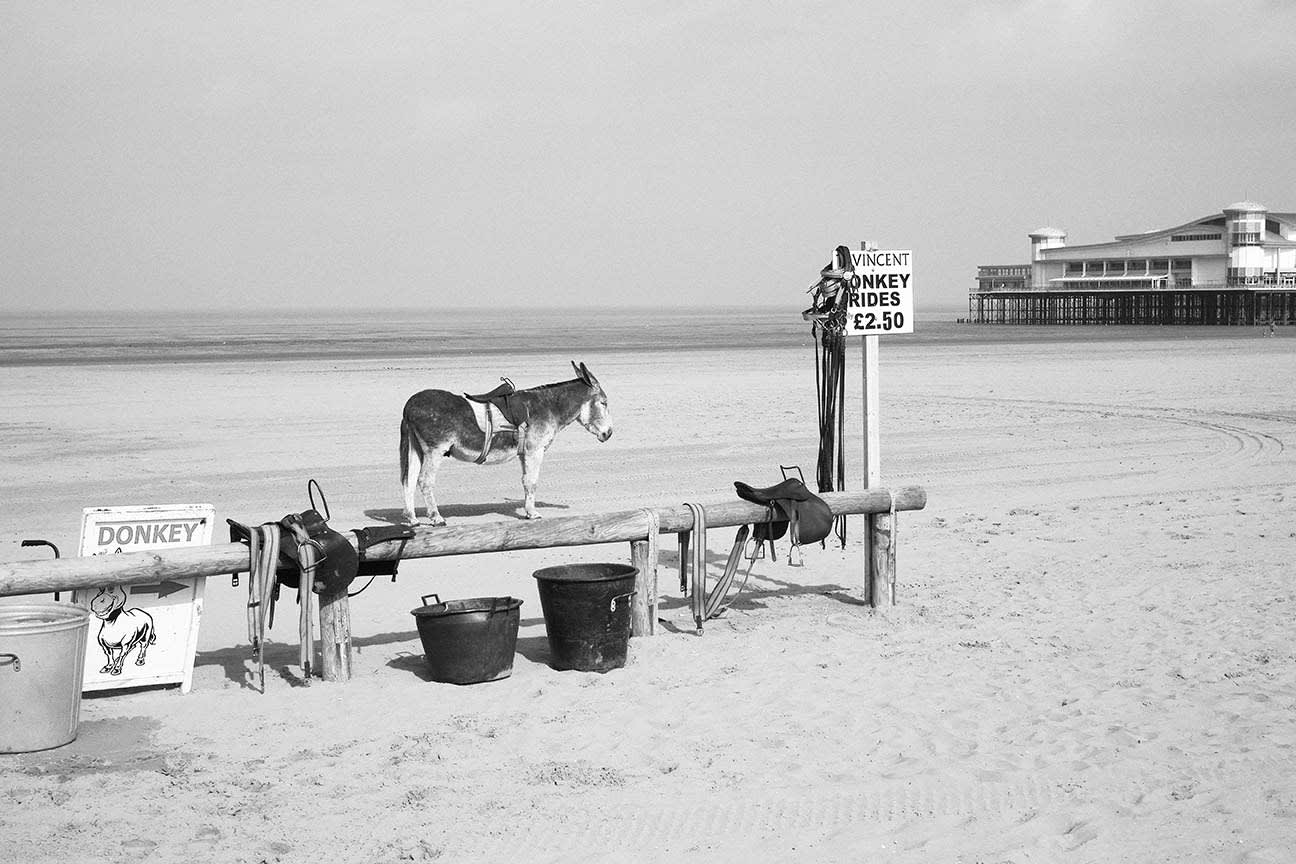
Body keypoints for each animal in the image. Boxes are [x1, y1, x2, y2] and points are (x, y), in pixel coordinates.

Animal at [399, 361, 612, 525]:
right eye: (604, 403)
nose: (608, 433)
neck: (549, 406)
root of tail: (409, 405)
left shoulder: (524, 453)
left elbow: (525, 481)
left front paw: (528, 512)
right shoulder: (535, 451)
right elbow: (532, 482)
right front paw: (533, 514)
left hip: (416, 449)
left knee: (408, 480)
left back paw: (412, 519)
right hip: (435, 451)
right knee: (424, 481)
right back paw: (436, 518)